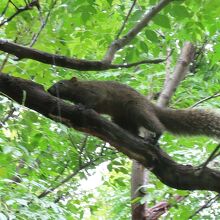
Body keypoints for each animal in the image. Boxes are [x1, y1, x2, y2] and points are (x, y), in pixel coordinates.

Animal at [47, 77, 220, 142]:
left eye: (61, 83)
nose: (49, 90)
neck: (79, 88)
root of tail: (150, 105)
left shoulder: (94, 92)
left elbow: (93, 101)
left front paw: (82, 106)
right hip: (121, 117)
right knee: (133, 129)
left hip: (137, 109)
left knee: (157, 126)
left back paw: (156, 136)